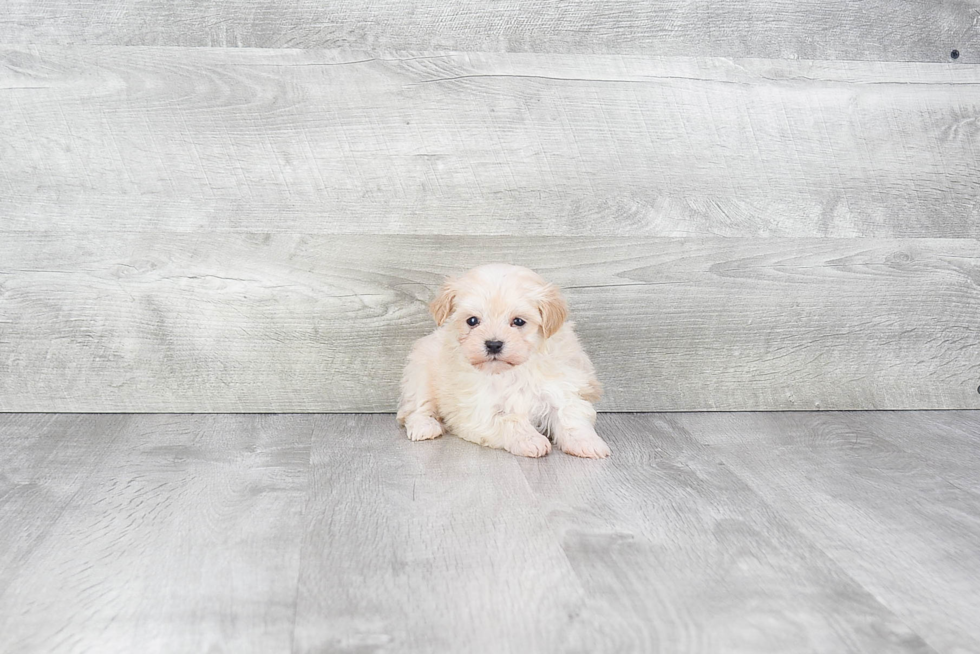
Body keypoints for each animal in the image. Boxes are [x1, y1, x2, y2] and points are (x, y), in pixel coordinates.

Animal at [394, 264, 608, 458]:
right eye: (472, 321)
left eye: (518, 321)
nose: (493, 344)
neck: (514, 370)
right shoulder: (480, 407)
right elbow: (509, 421)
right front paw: (530, 440)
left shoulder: (563, 386)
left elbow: (570, 416)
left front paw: (587, 443)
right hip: (420, 373)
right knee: (415, 408)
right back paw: (425, 426)